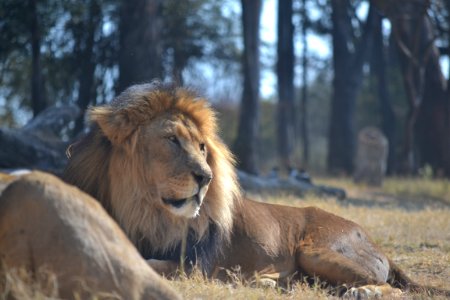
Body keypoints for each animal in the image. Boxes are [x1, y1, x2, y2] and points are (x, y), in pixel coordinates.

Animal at [62, 82, 446, 298]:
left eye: (202, 147)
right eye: (171, 140)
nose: (206, 177)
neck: (142, 207)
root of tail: (371, 238)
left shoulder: (193, 264)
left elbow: (150, 263)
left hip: (316, 250)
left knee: (393, 289)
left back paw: (363, 291)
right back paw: (267, 283)